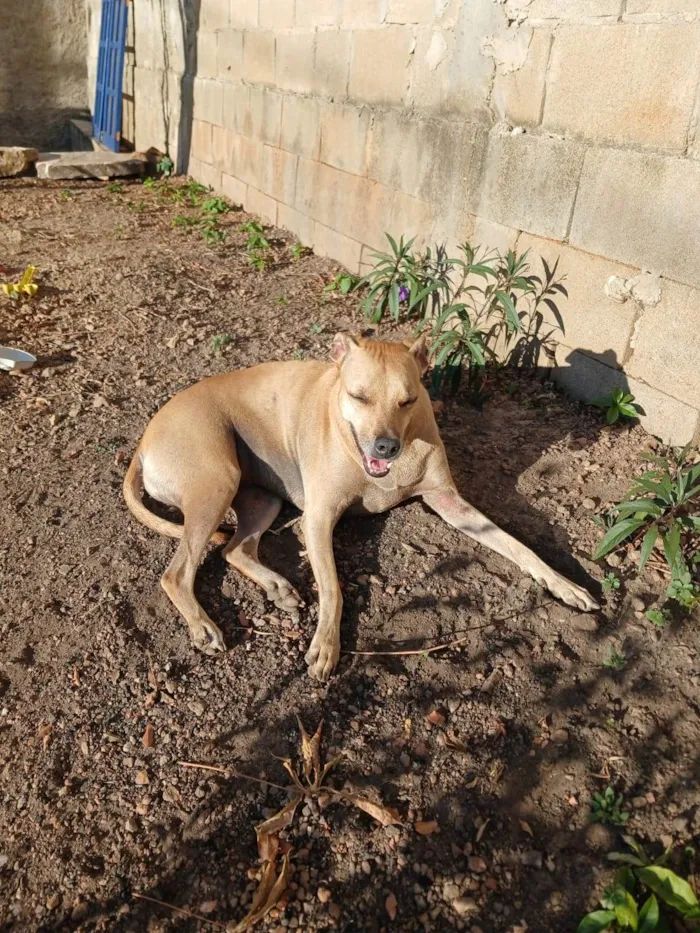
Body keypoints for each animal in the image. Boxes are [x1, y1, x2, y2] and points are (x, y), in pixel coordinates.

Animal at [124, 334, 596, 676]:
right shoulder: (316, 520)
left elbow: (518, 545)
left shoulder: (450, 501)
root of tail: (144, 441)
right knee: (176, 573)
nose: (385, 446)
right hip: (216, 484)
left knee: (233, 548)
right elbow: (334, 587)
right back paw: (203, 625)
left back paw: (276, 586)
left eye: (408, 399)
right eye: (359, 396)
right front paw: (326, 646)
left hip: (261, 499)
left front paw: (565, 584)